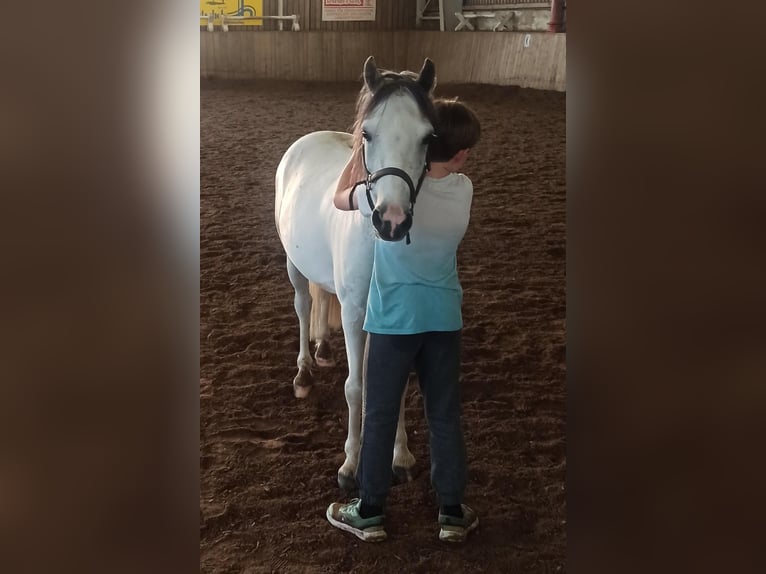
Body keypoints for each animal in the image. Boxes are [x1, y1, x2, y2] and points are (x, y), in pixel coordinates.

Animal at [274, 56, 438, 490]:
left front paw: (401, 457)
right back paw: (304, 372)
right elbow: (355, 386)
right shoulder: (353, 313)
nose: (392, 222)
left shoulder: (397, 320)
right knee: (302, 307)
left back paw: (324, 351)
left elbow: (394, 385)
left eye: (428, 137)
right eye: (367, 133)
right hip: (294, 266)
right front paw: (350, 465)